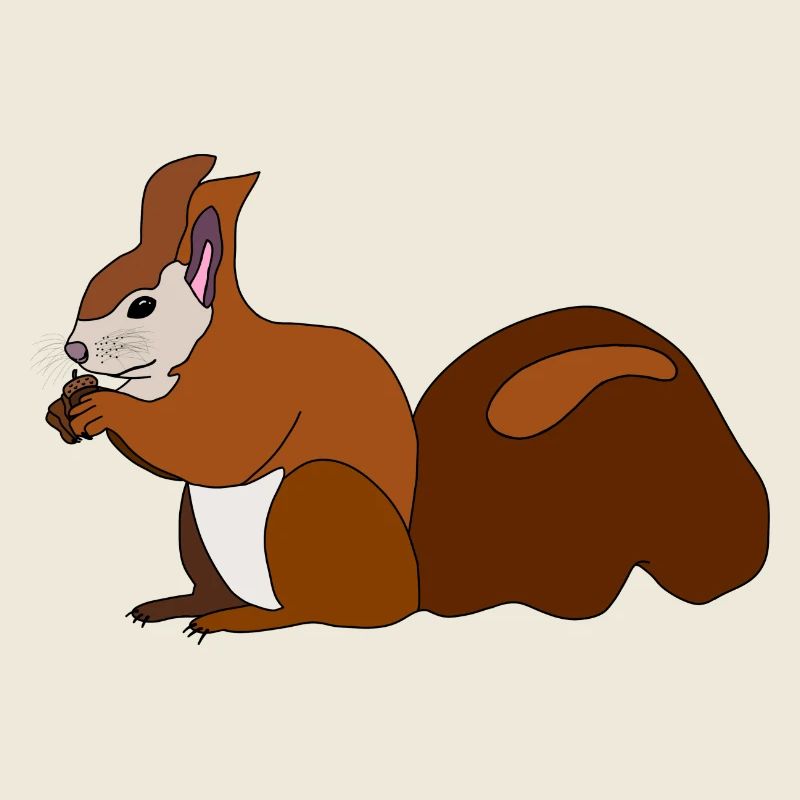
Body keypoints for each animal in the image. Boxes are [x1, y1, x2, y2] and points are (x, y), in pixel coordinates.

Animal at [46, 155, 769, 641]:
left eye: (141, 305)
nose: (74, 350)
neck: (180, 366)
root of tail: (413, 592)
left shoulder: (260, 390)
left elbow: (218, 447)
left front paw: (105, 410)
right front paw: (65, 408)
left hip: (317, 500)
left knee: (321, 614)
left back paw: (242, 620)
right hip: (195, 531)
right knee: (218, 585)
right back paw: (184, 604)